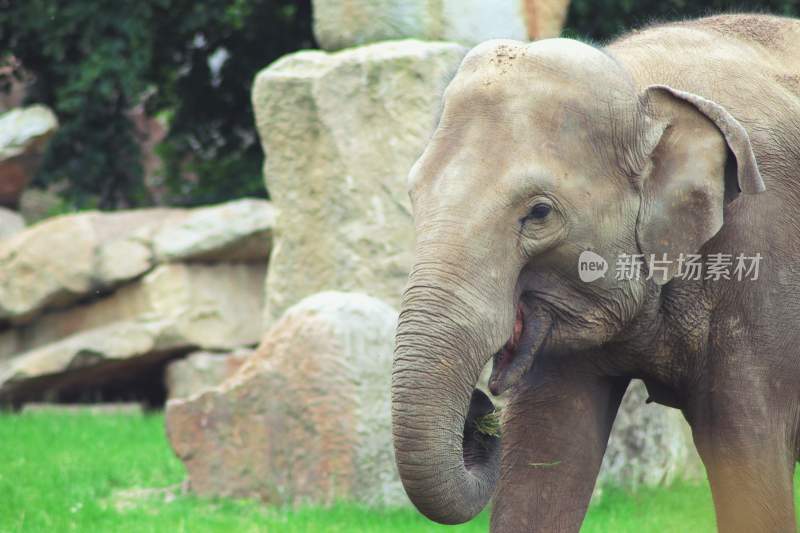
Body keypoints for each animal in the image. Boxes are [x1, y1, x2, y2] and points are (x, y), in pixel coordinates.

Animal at [390, 13, 800, 532]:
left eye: (539, 212)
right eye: (414, 195)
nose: (480, 411)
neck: (642, 87)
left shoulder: (762, 267)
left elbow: (747, 453)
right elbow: (547, 449)